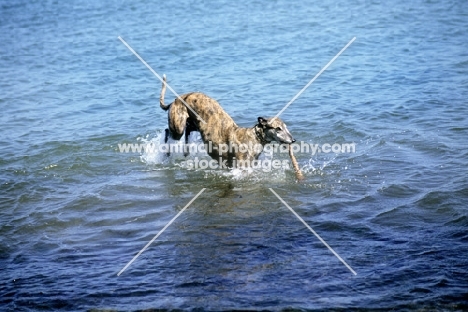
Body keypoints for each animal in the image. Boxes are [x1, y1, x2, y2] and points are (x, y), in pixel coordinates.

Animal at [159, 75, 294, 168]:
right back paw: (166, 152)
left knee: (186, 132)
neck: (254, 137)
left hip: (193, 124)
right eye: (278, 128)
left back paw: (185, 152)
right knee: (168, 132)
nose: (293, 140)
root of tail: (176, 100)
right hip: (178, 127)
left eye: (286, 127)